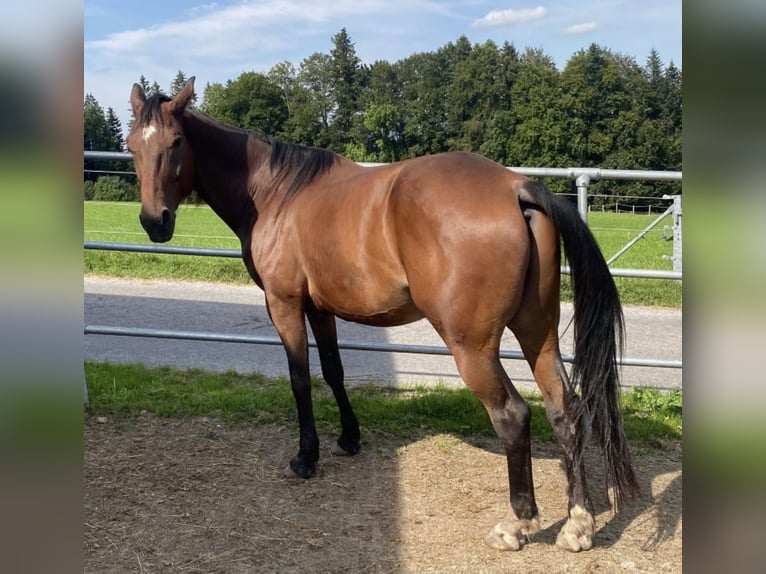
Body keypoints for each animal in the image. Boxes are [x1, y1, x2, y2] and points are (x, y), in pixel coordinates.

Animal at [127, 79, 640, 556]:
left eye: (176, 142)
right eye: (133, 145)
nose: (155, 222)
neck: (276, 193)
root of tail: (516, 187)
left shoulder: (285, 304)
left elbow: (300, 378)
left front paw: (306, 458)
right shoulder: (320, 309)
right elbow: (333, 371)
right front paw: (349, 439)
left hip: (472, 347)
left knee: (512, 416)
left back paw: (518, 524)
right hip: (539, 334)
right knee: (565, 410)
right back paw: (577, 524)